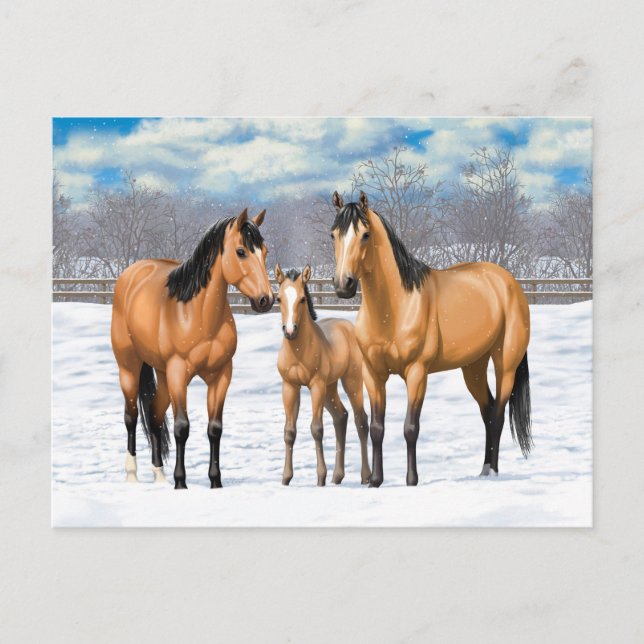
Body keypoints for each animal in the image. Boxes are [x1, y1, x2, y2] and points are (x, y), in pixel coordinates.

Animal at [111, 208, 273, 489]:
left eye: (264, 252)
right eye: (241, 251)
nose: (266, 300)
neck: (196, 314)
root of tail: (131, 273)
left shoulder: (221, 375)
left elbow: (214, 428)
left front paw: (216, 481)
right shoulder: (178, 373)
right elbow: (181, 427)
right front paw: (181, 483)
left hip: (162, 375)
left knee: (153, 415)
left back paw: (159, 475)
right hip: (129, 367)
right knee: (131, 416)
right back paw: (132, 474)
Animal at [274, 264, 371, 486]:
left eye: (302, 299)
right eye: (279, 299)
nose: (290, 331)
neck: (299, 351)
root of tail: (349, 327)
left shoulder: (315, 385)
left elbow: (316, 429)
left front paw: (320, 478)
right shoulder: (289, 386)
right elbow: (289, 432)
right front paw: (285, 478)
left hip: (351, 381)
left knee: (360, 420)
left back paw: (366, 476)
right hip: (330, 387)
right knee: (340, 416)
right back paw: (338, 476)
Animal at [330, 191, 532, 487]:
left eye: (365, 235)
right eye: (333, 234)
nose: (343, 285)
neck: (395, 307)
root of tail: (509, 282)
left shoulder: (417, 373)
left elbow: (410, 427)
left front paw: (411, 480)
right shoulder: (373, 374)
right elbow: (378, 427)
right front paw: (376, 481)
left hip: (505, 364)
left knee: (497, 414)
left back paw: (493, 472)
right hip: (473, 367)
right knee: (487, 412)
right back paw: (483, 470)